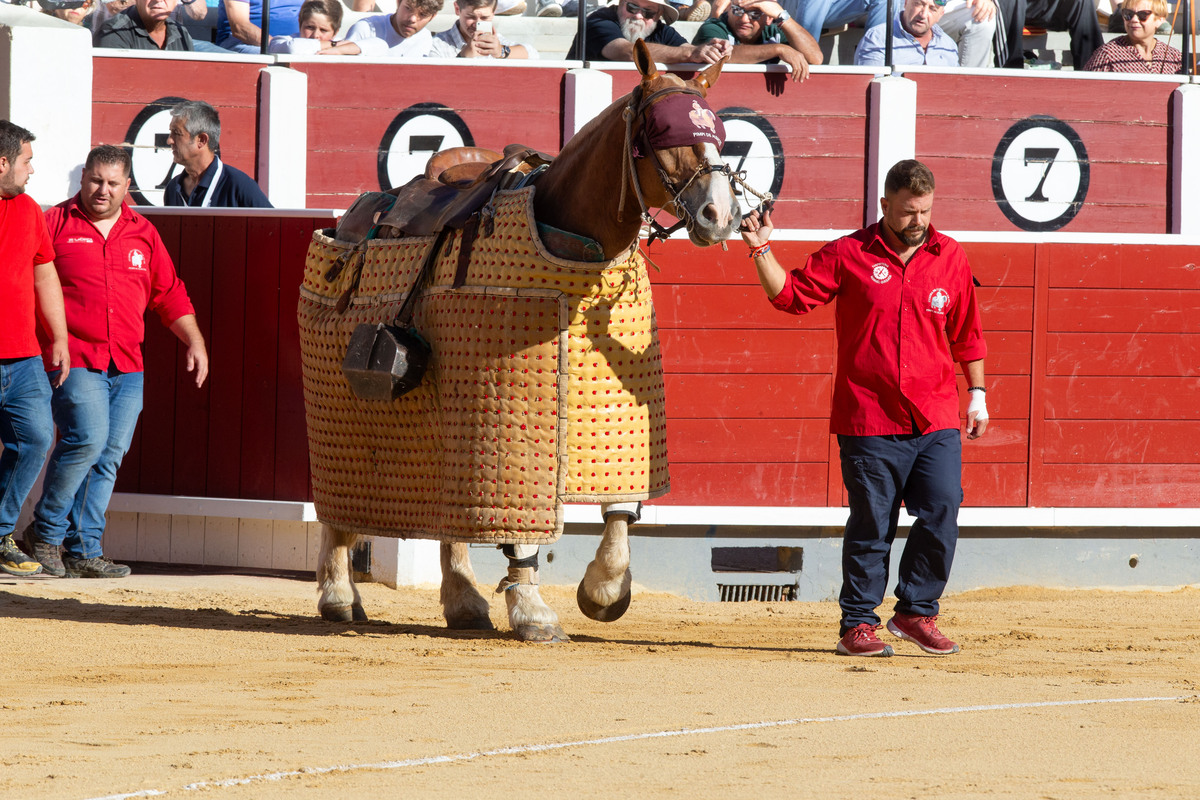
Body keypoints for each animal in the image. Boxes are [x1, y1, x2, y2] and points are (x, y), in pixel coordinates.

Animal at [309, 42, 739, 642]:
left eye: (719, 136)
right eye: (660, 136)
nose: (720, 215)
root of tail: (356, 212)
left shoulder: (620, 412)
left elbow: (619, 506)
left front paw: (604, 589)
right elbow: (522, 528)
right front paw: (533, 610)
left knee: (451, 517)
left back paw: (463, 601)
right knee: (338, 506)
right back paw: (338, 594)